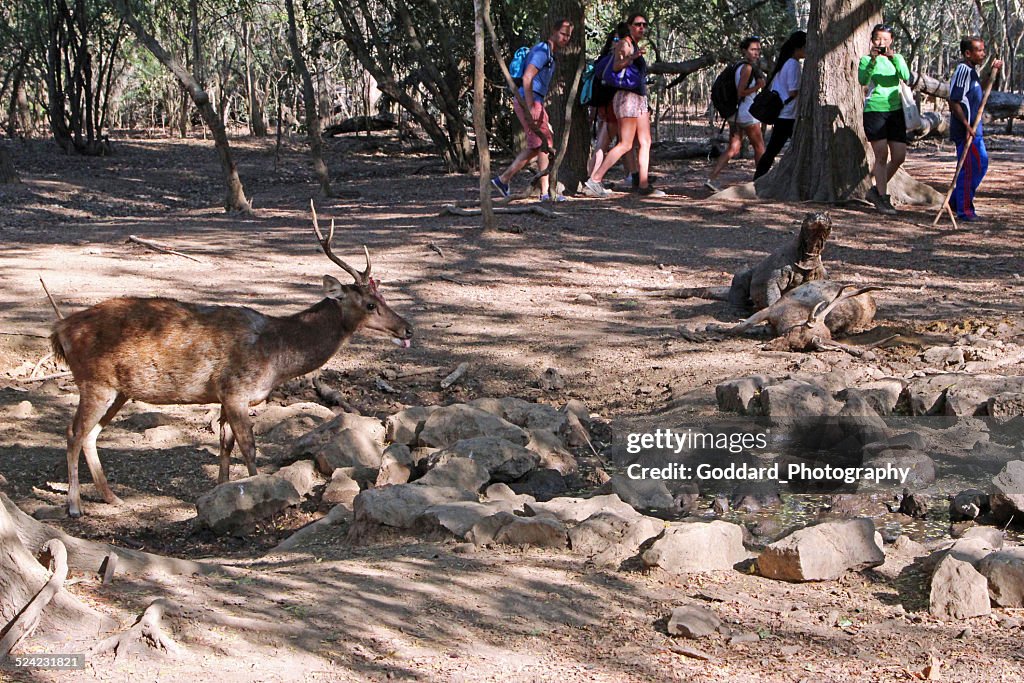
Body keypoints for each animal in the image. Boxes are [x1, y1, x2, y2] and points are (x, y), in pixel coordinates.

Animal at [49, 204, 413, 517]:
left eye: (382, 296)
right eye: (369, 304)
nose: (407, 328)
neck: (277, 356)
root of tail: (60, 330)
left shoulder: (223, 396)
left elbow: (224, 446)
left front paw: (219, 494)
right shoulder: (236, 390)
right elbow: (249, 447)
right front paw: (262, 495)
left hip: (119, 390)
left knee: (91, 435)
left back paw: (113, 497)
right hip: (94, 381)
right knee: (73, 432)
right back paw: (74, 506)